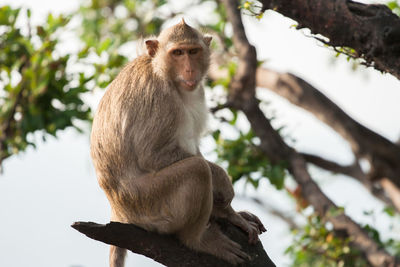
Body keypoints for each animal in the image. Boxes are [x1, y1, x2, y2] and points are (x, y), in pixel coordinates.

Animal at [90, 19, 266, 267]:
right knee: (197, 171)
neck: (162, 71)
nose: (190, 69)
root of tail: (119, 213)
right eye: (177, 53)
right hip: (150, 205)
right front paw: (222, 180)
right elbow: (151, 154)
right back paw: (198, 240)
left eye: (193, 51)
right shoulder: (159, 98)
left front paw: (231, 213)